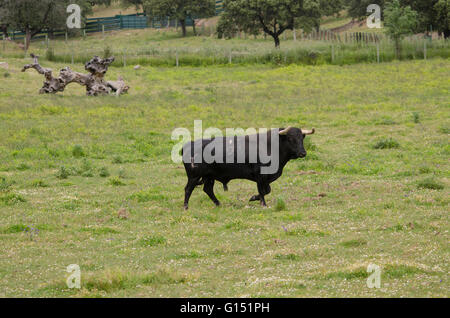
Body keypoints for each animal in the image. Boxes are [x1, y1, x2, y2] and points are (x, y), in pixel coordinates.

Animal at [181, 126, 314, 209]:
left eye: (301, 138)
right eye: (291, 138)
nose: (303, 153)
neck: (271, 146)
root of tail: (189, 144)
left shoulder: (266, 178)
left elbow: (267, 190)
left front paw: (254, 198)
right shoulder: (260, 176)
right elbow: (262, 191)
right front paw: (263, 204)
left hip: (209, 176)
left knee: (208, 189)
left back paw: (218, 204)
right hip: (194, 176)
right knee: (188, 189)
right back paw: (186, 206)